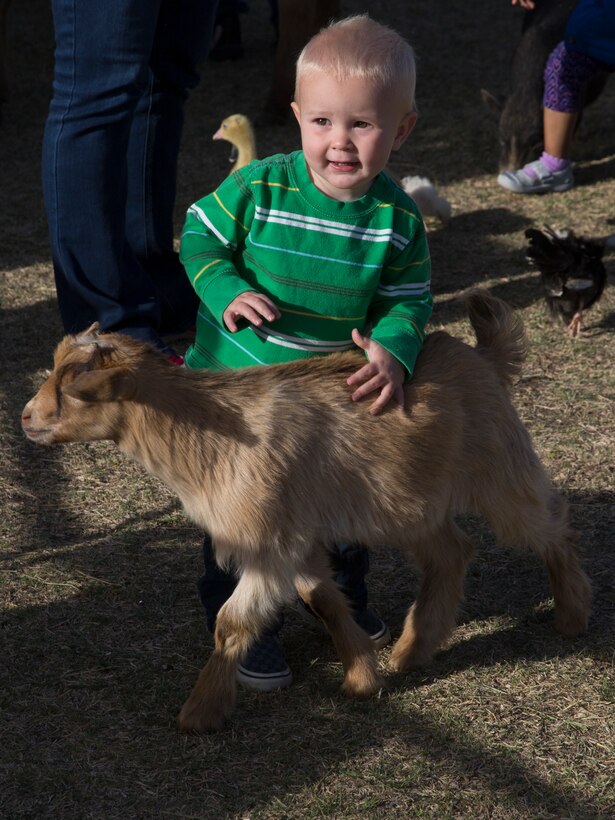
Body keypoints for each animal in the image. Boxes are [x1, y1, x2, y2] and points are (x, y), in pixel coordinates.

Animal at [21, 292, 596, 732]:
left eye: (74, 389)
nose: (26, 418)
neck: (211, 434)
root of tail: (483, 356)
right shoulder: (291, 537)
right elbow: (321, 596)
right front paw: (363, 677)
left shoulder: (267, 541)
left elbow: (231, 624)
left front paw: (200, 712)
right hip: (409, 502)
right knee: (452, 552)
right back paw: (412, 650)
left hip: (499, 471)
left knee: (552, 527)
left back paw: (571, 616)